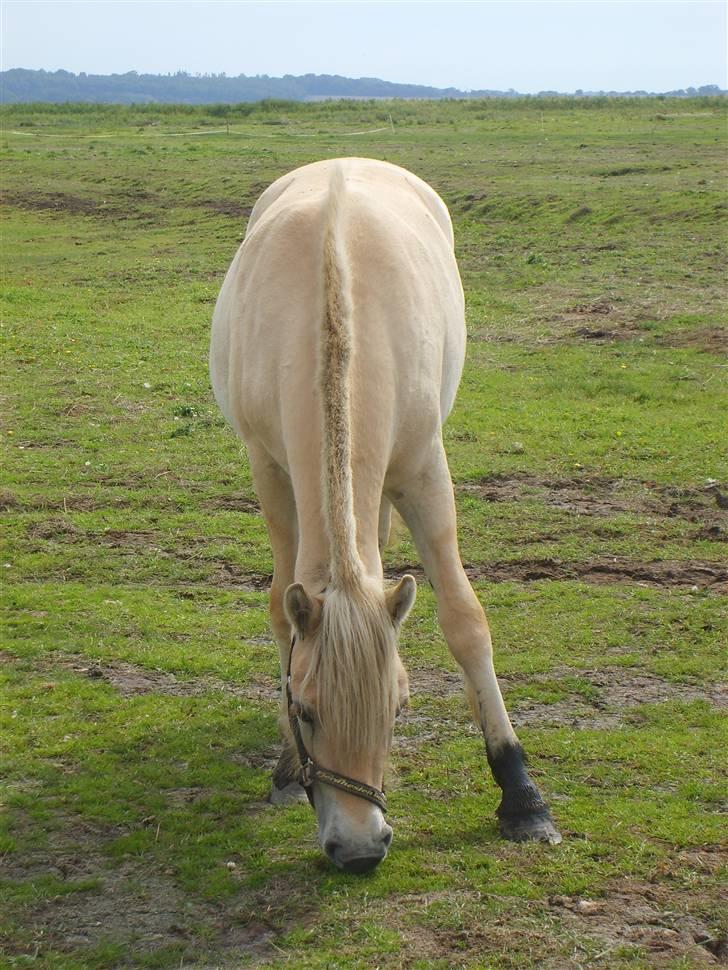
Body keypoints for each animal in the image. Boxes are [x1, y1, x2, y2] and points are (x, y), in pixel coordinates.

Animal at [210, 159, 564, 868]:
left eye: (398, 708)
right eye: (305, 710)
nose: (359, 849)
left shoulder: (424, 469)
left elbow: (465, 622)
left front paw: (522, 796)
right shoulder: (269, 469)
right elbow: (282, 612)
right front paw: (287, 768)